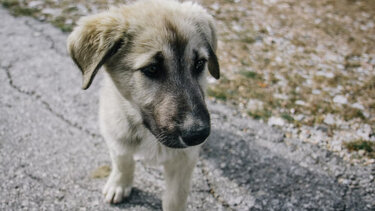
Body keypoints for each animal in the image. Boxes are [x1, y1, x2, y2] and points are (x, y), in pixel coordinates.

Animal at [67, 0, 220, 210]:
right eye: (152, 69)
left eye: (200, 64)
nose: (198, 135)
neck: (148, 133)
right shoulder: (116, 138)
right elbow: (123, 162)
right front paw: (119, 184)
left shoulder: (184, 161)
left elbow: (175, 198)